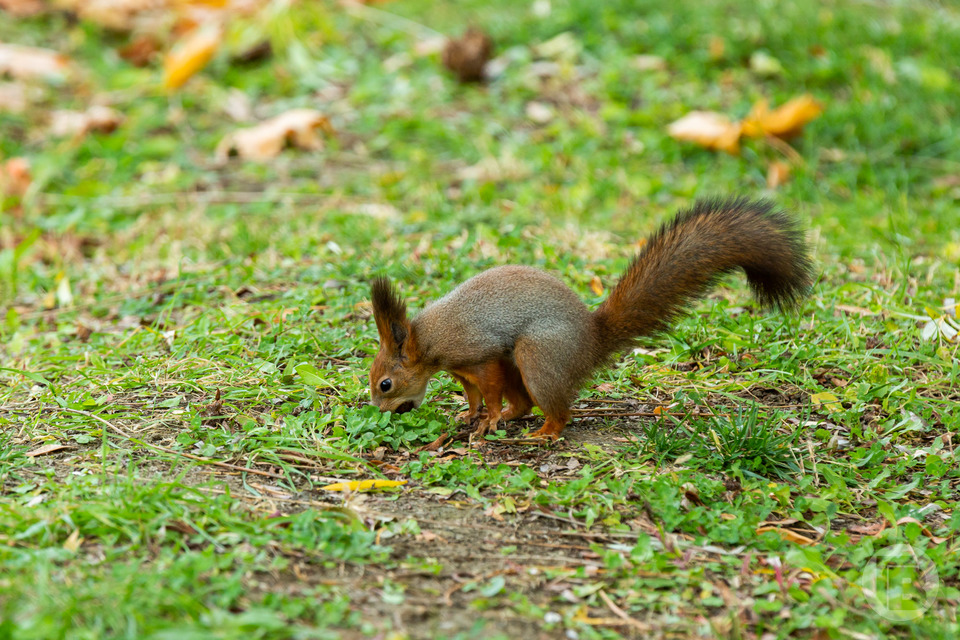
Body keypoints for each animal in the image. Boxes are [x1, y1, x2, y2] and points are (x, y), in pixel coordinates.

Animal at [368, 198, 808, 442]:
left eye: (386, 384)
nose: (381, 413)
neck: (428, 340)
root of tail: (592, 342)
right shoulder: (462, 371)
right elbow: (473, 394)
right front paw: (471, 414)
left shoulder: (479, 354)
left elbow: (488, 391)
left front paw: (487, 418)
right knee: (524, 404)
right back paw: (516, 418)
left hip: (538, 356)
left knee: (557, 411)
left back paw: (543, 434)